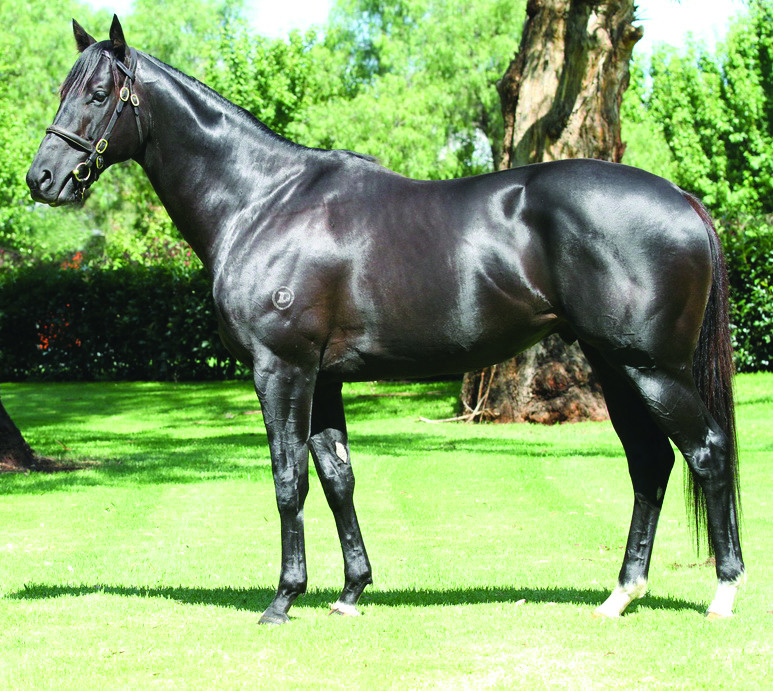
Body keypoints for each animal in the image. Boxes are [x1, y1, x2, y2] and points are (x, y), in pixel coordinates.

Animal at [27, 16, 744, 625]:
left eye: (97, 93)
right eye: (62, 89)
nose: (43, 179)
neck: (262, 201)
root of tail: (679, 197)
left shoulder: (281, 370)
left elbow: (288, 479)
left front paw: (282, 599)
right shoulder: (323, 378)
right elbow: (337, 476)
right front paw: (349, 591)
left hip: (651, 368)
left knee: (706, 452)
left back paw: (722, 593)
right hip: (614, 365)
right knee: (650, 463)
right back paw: (620, 595)